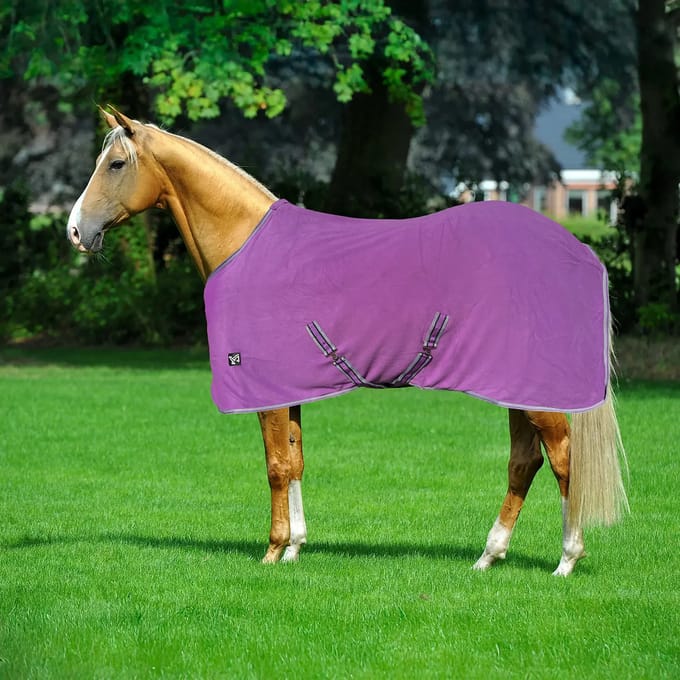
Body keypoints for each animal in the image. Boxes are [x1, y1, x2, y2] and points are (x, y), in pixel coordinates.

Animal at [66, 106, 628, 575]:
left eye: (116, 163)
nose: (74, 231)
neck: (248, 245)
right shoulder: (289, 390)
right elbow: (295, 460)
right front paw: (296, 547)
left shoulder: (265, 391)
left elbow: (275, 466)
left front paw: (271, 551)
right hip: (514, 387)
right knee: (524, 462)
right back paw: (488, 557)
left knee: (563, 460)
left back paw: (566, 560)